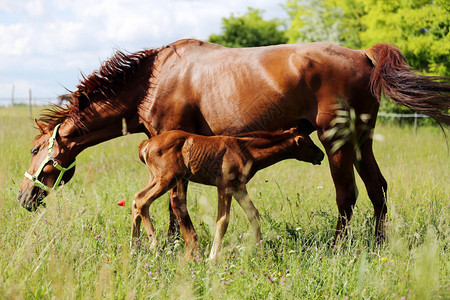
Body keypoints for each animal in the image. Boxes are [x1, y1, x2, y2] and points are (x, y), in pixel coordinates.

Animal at [132, 129, 326, 260]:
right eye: (309, 143)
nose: (322, 155)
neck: (246, 149)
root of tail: (145, 145)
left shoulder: (239, 187)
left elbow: (253, 214)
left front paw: (261, 251)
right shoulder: (224, 187)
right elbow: (223, 220)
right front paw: (212, 258)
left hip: (156, 178)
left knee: (136, 201)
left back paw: (134, 246)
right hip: (167, 178)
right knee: (142, 200)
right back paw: (153, 245)